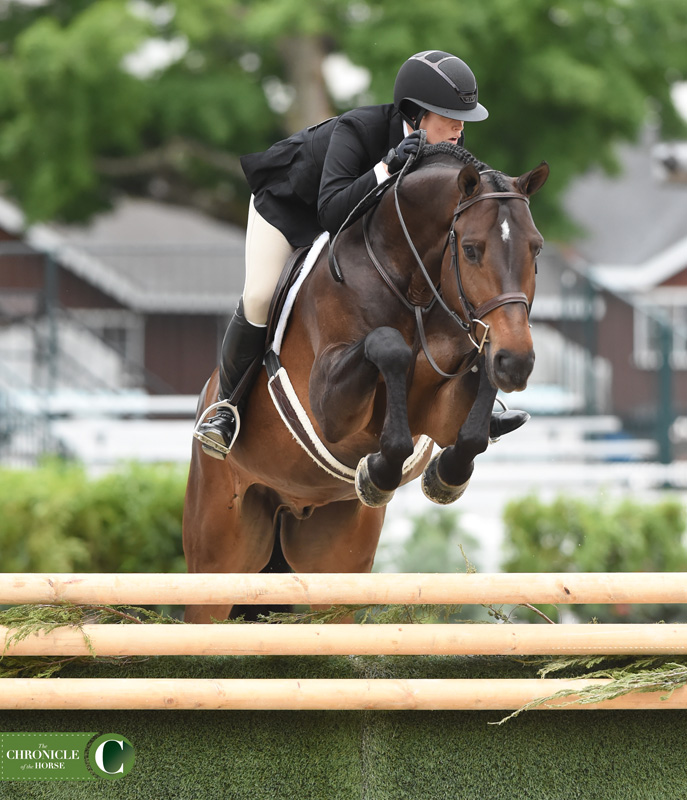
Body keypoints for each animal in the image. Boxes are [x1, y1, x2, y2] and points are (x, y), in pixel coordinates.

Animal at [183, 142, 548, 624]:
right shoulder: (329, 408)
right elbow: (387, 345)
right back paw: (219, 426)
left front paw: (445, 475)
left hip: (334, 562)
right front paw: (379, 471)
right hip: (218, 556)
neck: (413, 285)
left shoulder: (443, 407)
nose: (517, 362)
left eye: (536, 250)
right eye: (471, 250)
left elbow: (468, 424)